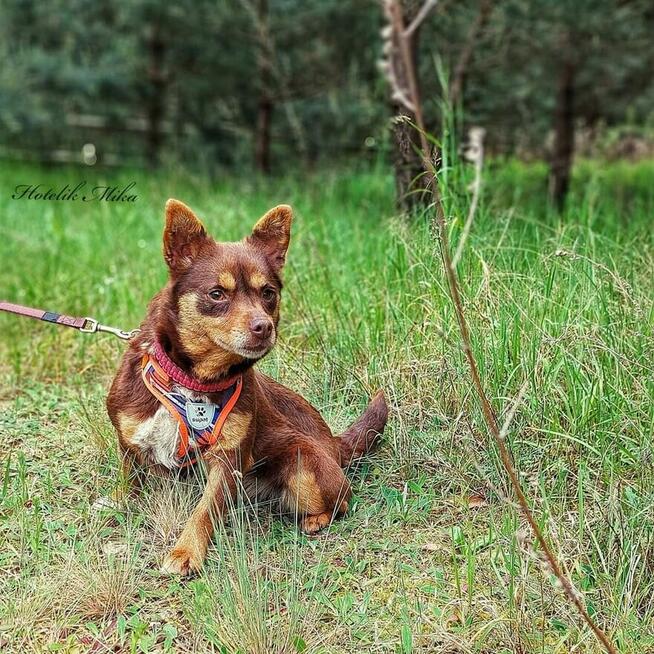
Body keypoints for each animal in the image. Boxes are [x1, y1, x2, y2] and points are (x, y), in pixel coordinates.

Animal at [105, 200, 386, 576]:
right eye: (216, 294)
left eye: (268, 293)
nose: (264, 326)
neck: (191, 379)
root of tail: (333, 443)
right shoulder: (130, 442)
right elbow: (132, 482)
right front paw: (121, 504)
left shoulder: (229, 459)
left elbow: (204, 511)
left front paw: (186, 551)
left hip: (305, 468)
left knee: (342, 499)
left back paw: (317, 518)